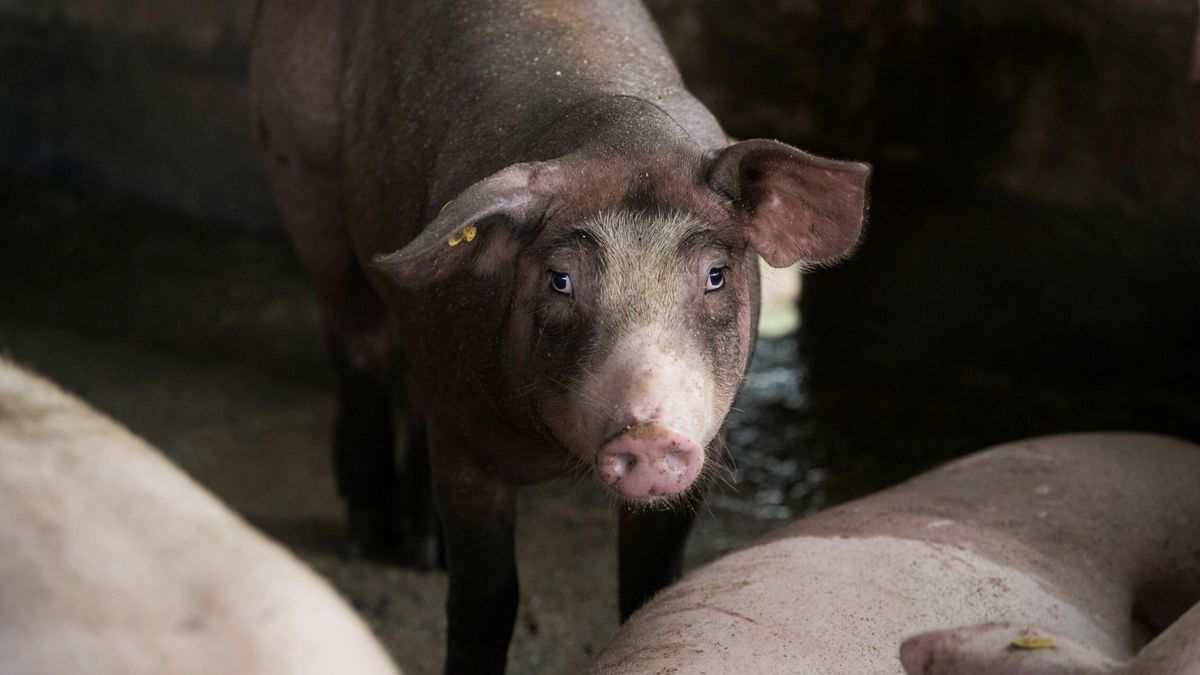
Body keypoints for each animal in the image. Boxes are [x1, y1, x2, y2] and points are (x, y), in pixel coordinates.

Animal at [248, 0, 870, 671]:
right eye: (561, 279)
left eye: (715, 275)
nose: (649, 434)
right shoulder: (466, 449)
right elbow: (487, 598)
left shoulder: (708, 444)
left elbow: (651, 584)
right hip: (298, 162)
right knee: (357, 340)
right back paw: (370, 535)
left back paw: (422, 550)